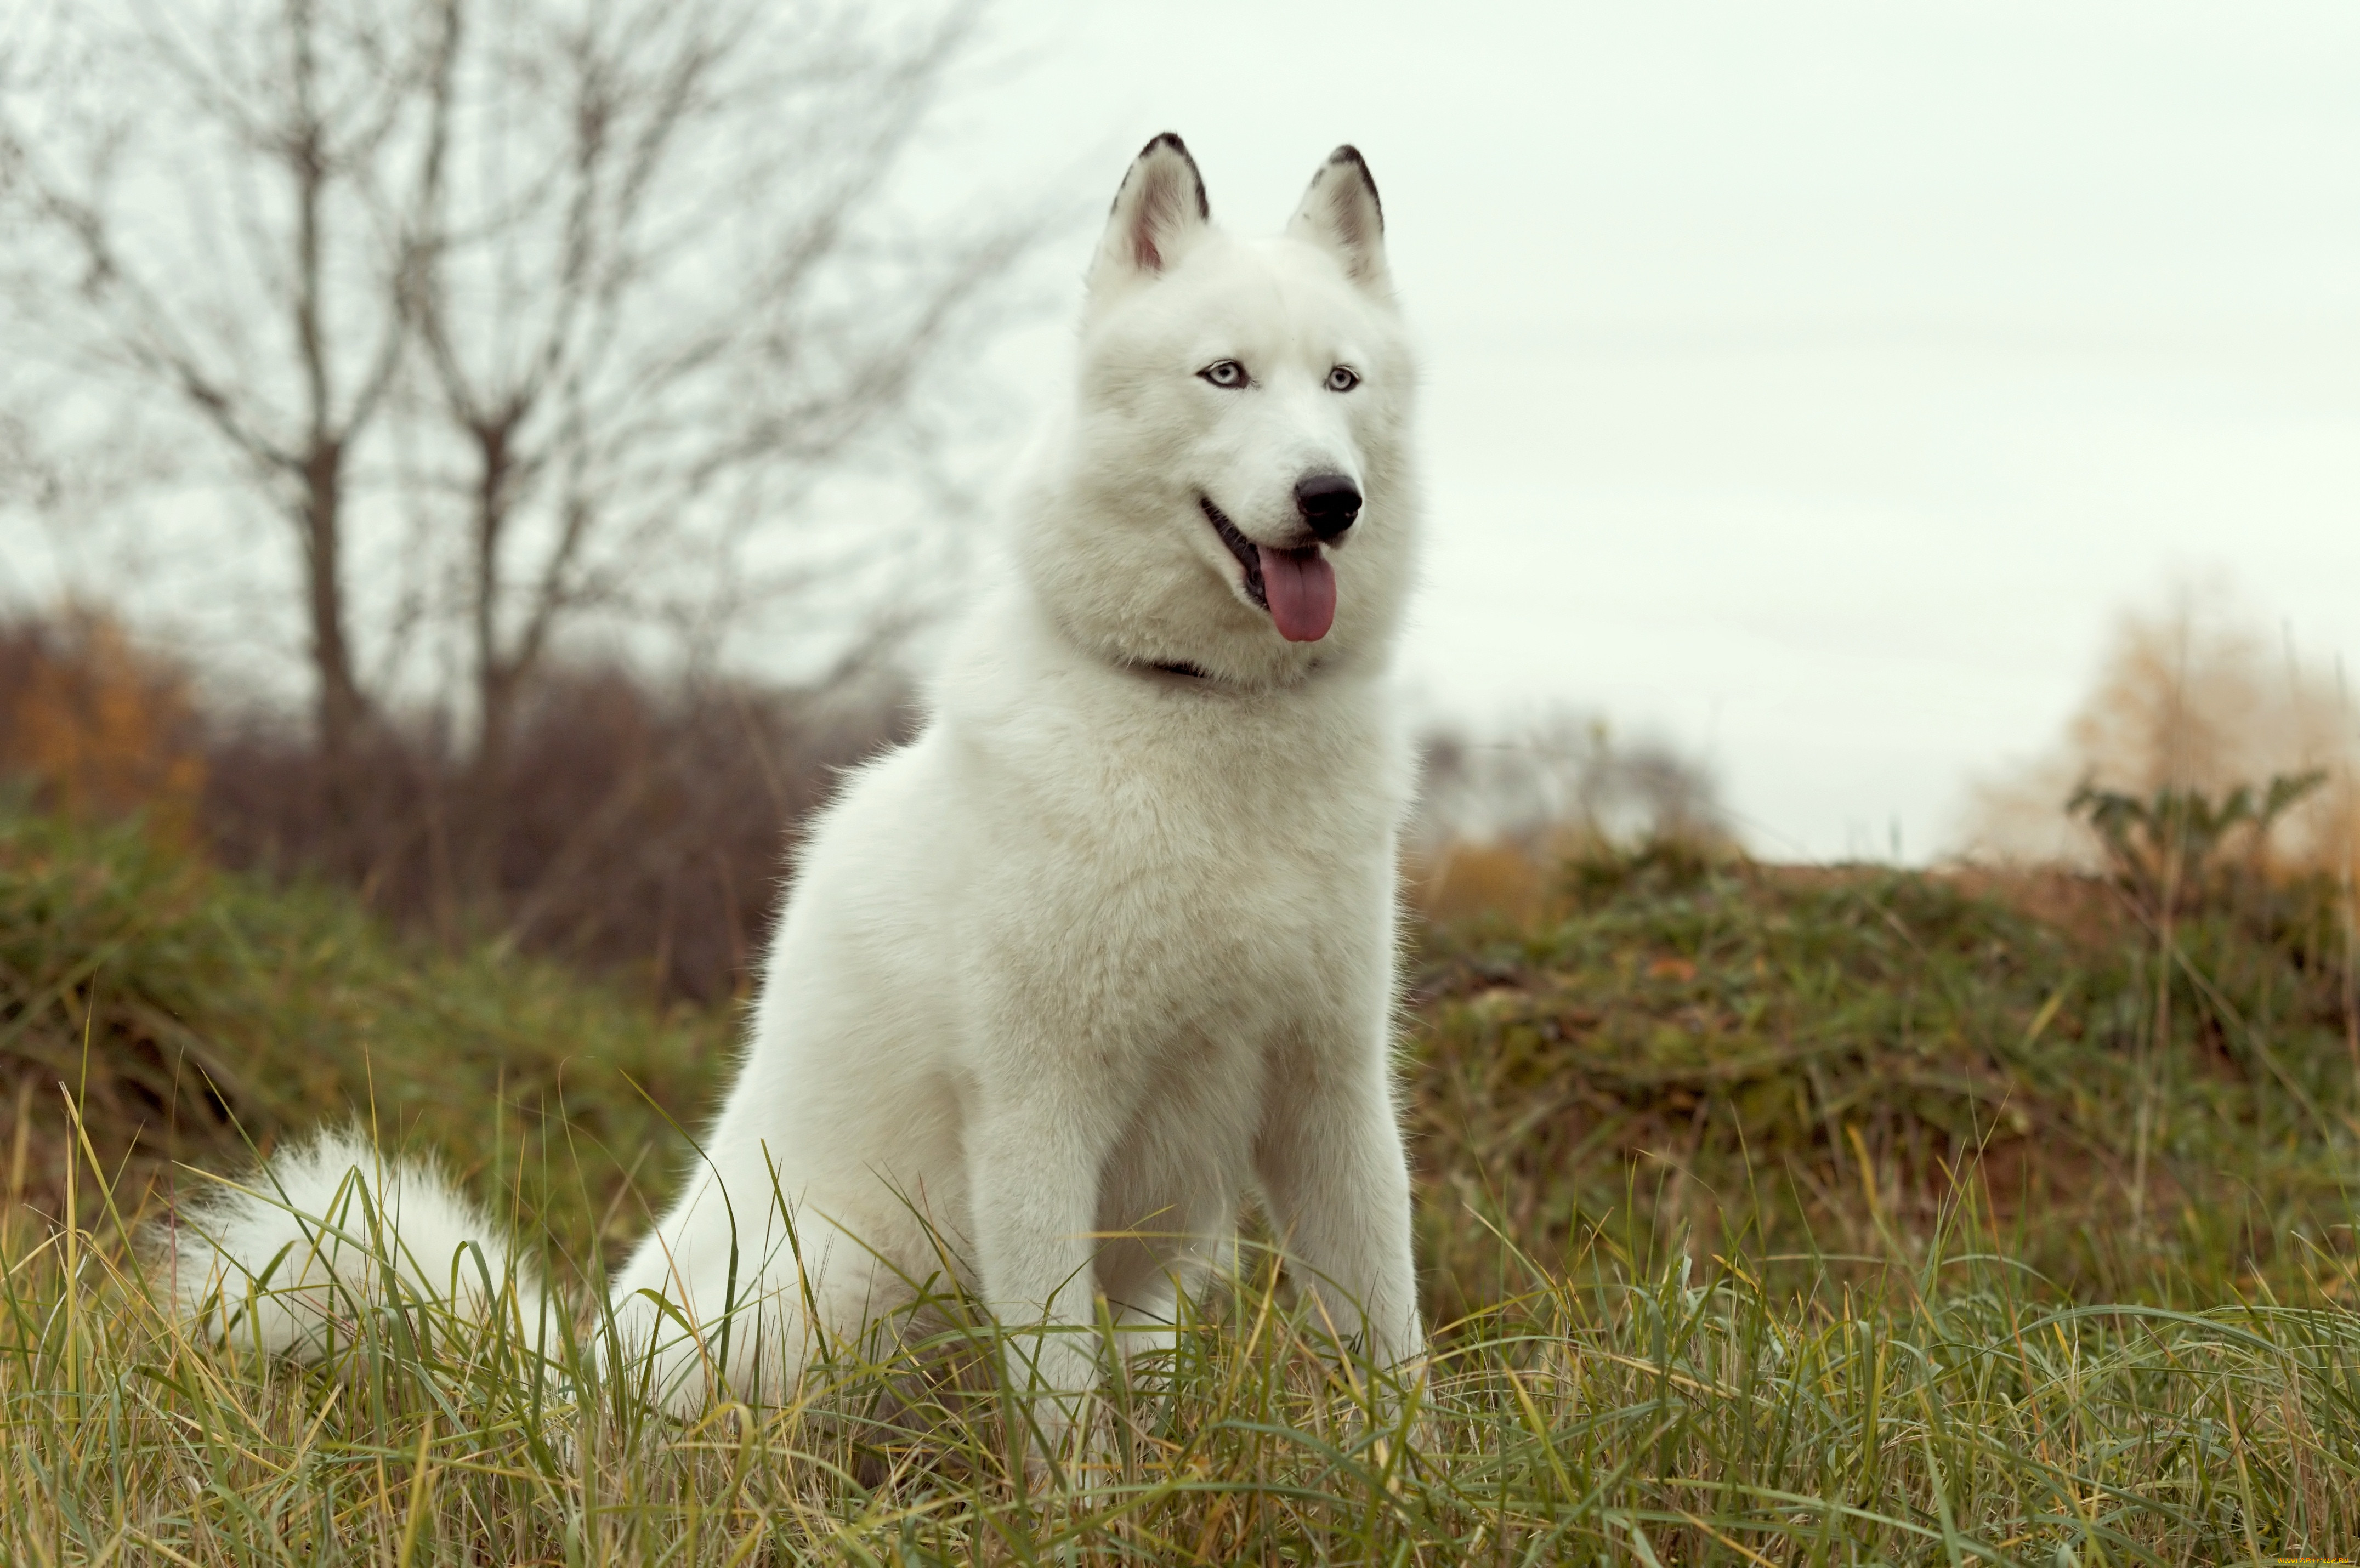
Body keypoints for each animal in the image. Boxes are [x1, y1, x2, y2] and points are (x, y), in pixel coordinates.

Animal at [171, 137, 1416, 1445]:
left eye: (1341, 380)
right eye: (1224, 374)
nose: (1331, 497)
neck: (1205, 717)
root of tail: (574, 1393)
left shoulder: (1336, 1098)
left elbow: (1393, 1345)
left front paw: (1403, 1476)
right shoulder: (1035, 1115)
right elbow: (1061, 1405)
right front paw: (1085, 1495)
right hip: (859, 1275)